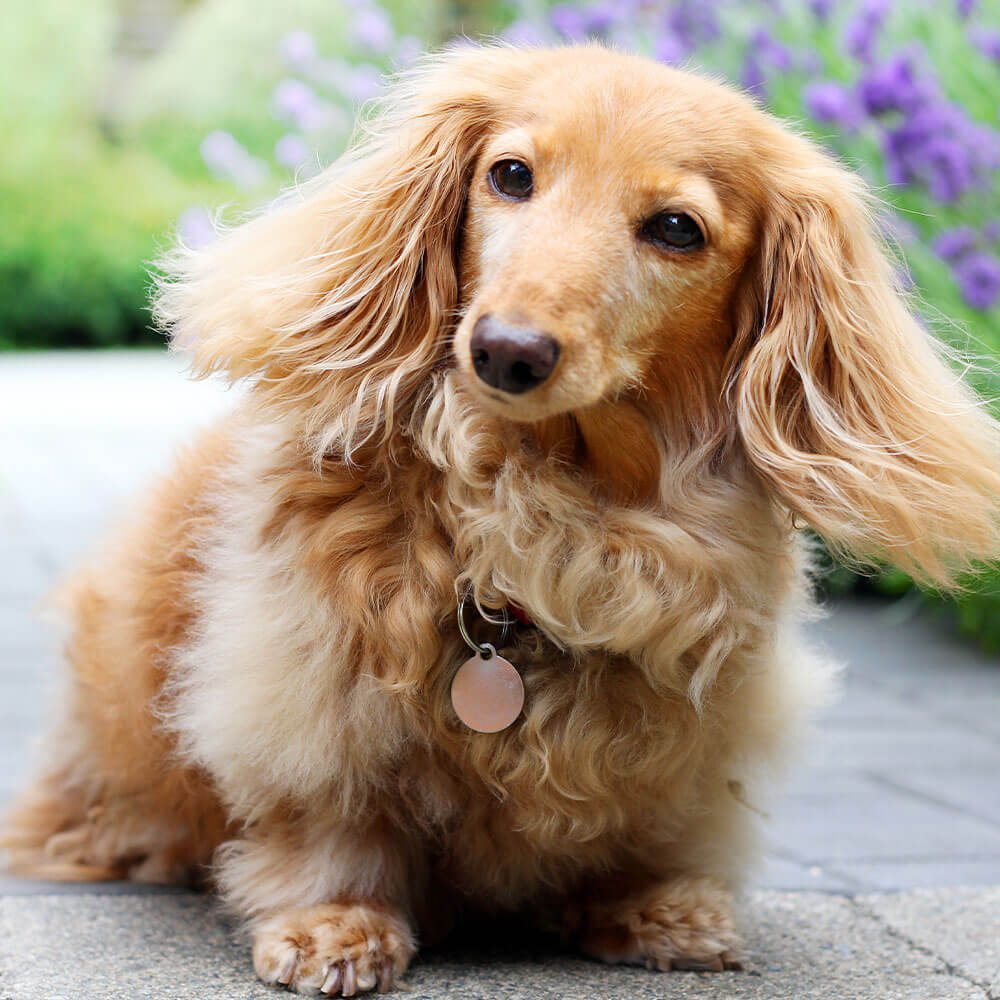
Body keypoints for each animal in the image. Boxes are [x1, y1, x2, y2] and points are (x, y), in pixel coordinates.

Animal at [5, 45, 1000, 992]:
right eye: (511, 175)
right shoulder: (305, 677)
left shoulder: (696, 717)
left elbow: (650, 819)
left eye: (677, 228)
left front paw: (648, 904)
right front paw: (335, 921)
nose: (507, 351)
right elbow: (330, 815)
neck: (552, 509)